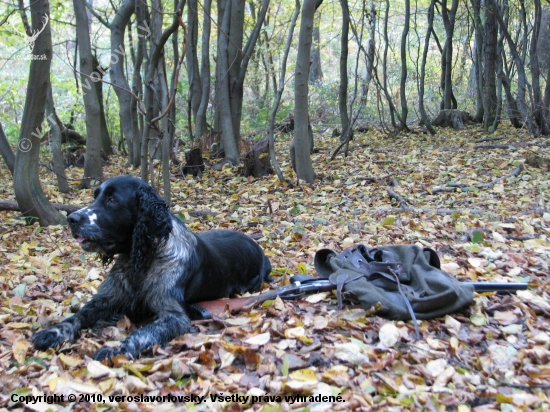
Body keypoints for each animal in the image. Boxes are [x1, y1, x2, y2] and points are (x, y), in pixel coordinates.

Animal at [31, 176, 272, 360]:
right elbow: (79, 315)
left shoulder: (173, 316)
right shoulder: (106, 298)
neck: (141, 258)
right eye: (96, 196)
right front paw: (54, 331)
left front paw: (116, 349)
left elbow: (143, 333)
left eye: (112, 200)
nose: (71, 218)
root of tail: (260, 250)